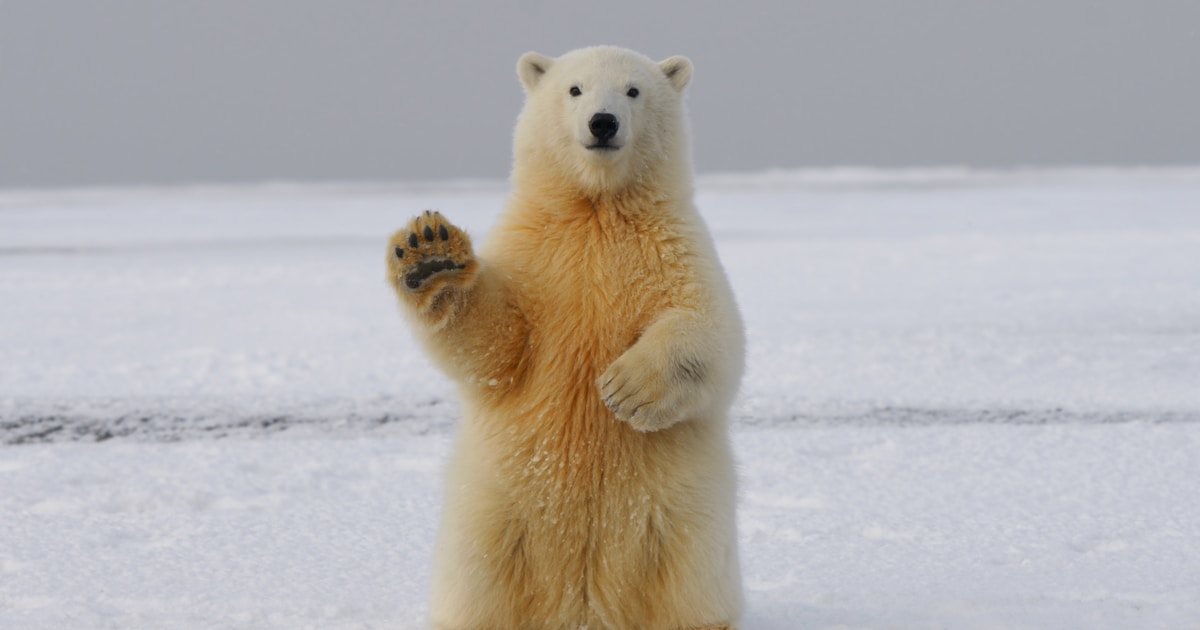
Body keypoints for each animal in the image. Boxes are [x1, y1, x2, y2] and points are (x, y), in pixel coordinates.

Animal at [386, 45, 744, 630]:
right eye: (574, 89)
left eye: (633, 90)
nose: (603, 122)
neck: (596, 209)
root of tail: (583, 609)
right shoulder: (535, 254)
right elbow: (497, 343)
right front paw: (430, 252)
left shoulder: (675, 249)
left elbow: (712, 332)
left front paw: (625, 389)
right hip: (492, 514)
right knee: (481, 584)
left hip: (683, 523)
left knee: (686, 588)